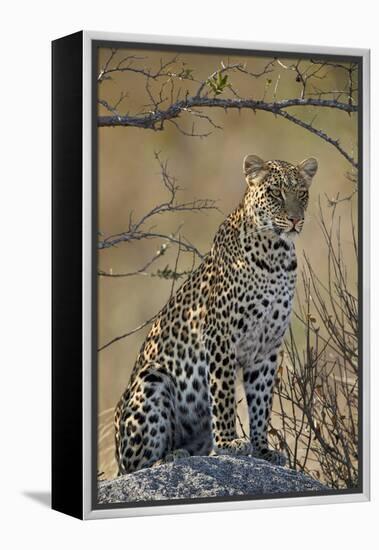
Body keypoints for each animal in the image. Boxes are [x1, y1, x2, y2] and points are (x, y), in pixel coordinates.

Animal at [114, 154, 320, 474]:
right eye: (275, 193)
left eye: (302, 193)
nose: (296, 219)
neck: (277, 254)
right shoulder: (220, 337)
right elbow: (223, 394)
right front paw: (228, 443)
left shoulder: (267, 347)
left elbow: (261, 403)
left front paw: (262, 449)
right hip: (152, 378)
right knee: (137, 465)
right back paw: (169, 457)